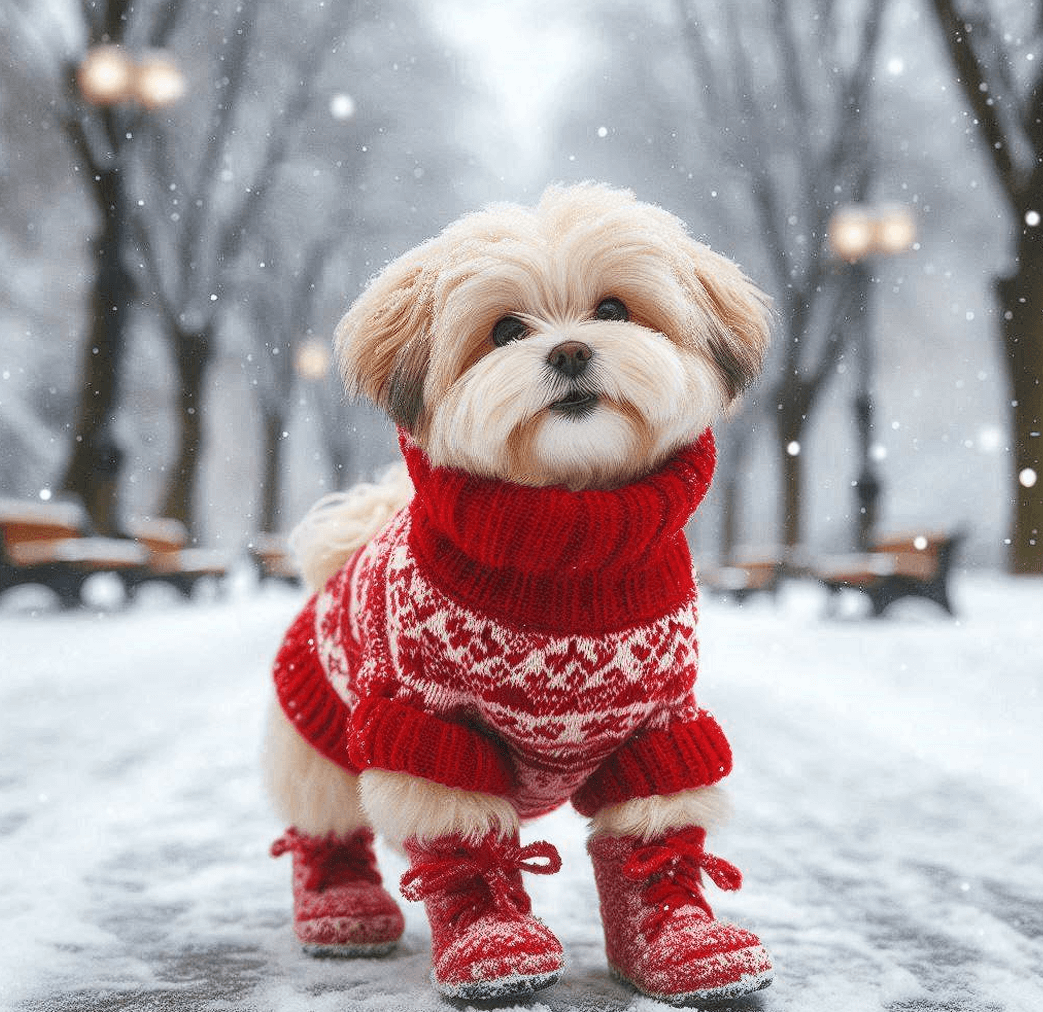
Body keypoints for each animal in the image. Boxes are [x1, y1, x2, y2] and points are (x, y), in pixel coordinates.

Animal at [264, 181, 775, 1001]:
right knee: (325, 817)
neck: (565, 565)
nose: (568, 350)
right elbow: (460, 835)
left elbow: (655, 827)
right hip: (321, 730)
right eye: (505, 329)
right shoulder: (427, 728)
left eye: (612, 310)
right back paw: (341, 904)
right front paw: (491, 939)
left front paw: (681, 937)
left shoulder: (660, 727)